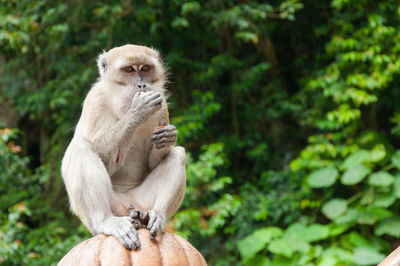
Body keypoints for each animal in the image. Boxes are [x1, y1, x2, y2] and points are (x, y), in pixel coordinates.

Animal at [61, 43, 188, 249]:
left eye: (145, 68)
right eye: (129, 69)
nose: (142, 85)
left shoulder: (162, 105)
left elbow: (154, 162)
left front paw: (167, 137)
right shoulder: (95, 100)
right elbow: (102, 155)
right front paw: (138, 111)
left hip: (142, 201)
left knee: (177, 154)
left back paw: (154, 217)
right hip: (100, 212)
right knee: (81, 148)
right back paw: (106, 221)